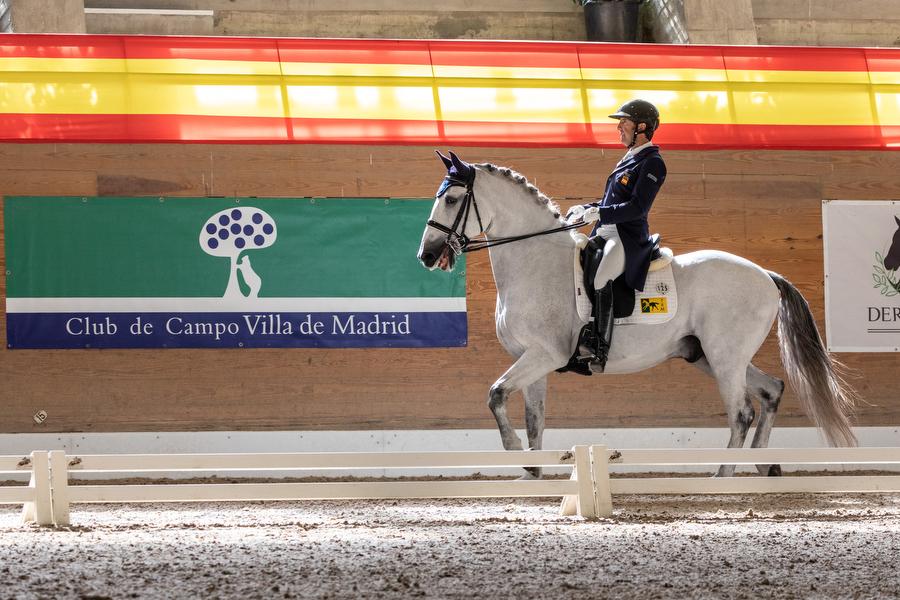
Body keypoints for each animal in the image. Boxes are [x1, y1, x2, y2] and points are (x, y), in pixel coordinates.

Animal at [418, 151, 856, 478]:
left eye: (452, 200)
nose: (427, 255)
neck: (534, 261)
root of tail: (766, 275)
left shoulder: (545, 355)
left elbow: (495, 394)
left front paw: (514, 453)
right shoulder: (531, 359)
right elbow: (533, 419)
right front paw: (534, 474)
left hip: (725, 357)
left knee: (741, 413)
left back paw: (722, 477)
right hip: (706, 355)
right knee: (771, 391)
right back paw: (764, 467)